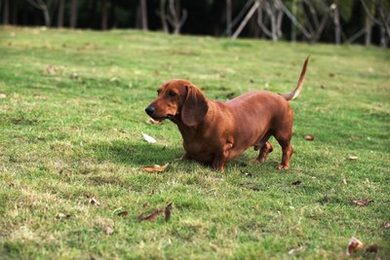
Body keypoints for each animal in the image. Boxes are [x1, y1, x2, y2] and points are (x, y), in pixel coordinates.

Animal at [145, 57, 310, 171]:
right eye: (159, 92)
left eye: (172, 94)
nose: (148, 110)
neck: (198, 126)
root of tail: (280, 95)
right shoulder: (187, 155)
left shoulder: (225, 148)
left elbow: (219, 161)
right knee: (267, 145)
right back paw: (258, 160)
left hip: (282, 133)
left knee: (288, 149)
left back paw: (283, 165)